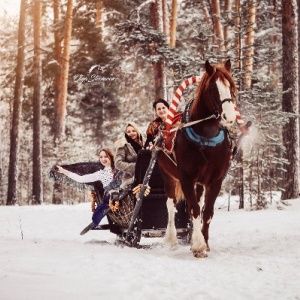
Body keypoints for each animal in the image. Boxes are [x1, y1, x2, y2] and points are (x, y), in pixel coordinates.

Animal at [158, 59, 238, 256]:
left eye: (231, 86)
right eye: (213, 88)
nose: (230, 116)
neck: (205, 137)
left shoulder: (215, 180)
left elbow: (206, 212)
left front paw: (204, 241)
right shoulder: (186, 177)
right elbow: (193, 209)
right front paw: (199, 245)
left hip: (200, 182)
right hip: (168, 176)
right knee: (171, 204)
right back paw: (171, 239)